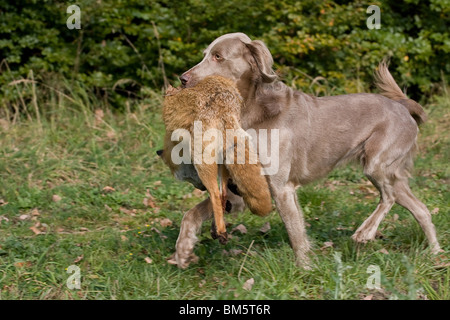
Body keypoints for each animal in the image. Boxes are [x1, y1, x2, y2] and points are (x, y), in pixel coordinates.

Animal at [156, 75, 272, 245]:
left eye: (186, 178)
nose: (200, 188)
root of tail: (222, 106)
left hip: (205, 163)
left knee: (215, 194)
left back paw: (221, 232)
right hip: (223, 158)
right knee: (223, 193)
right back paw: (219, 226)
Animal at [168, 32, 440, 268]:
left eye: (218, 56)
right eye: (205, 54)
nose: (182, 78)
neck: (253, 111)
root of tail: (402, 105)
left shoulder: (280, 187)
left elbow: (295, 234)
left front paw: (305, 270)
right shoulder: (241, 190)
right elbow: (191, 214)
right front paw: (183, 251)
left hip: (377, 163)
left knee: (388, 197)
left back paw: (365, 232)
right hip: (391, 172)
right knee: (421, 210)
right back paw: (436, 255)